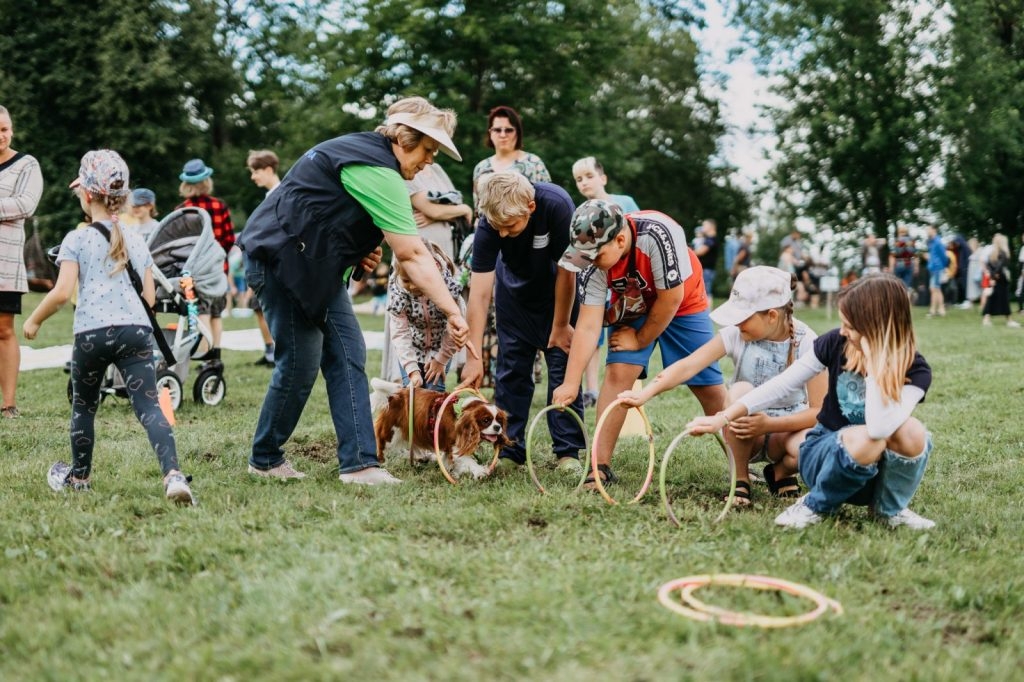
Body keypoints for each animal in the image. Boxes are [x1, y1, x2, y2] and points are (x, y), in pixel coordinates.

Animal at [368, 376, 512, 477]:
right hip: (390, 435)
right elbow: (468, 460)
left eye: (499, 420)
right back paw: (381, 463)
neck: (461, 414)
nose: (497, 427)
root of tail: (394, 397)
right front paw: (480, 471)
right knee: (381, 445)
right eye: (486, 420)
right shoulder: (455, 446)